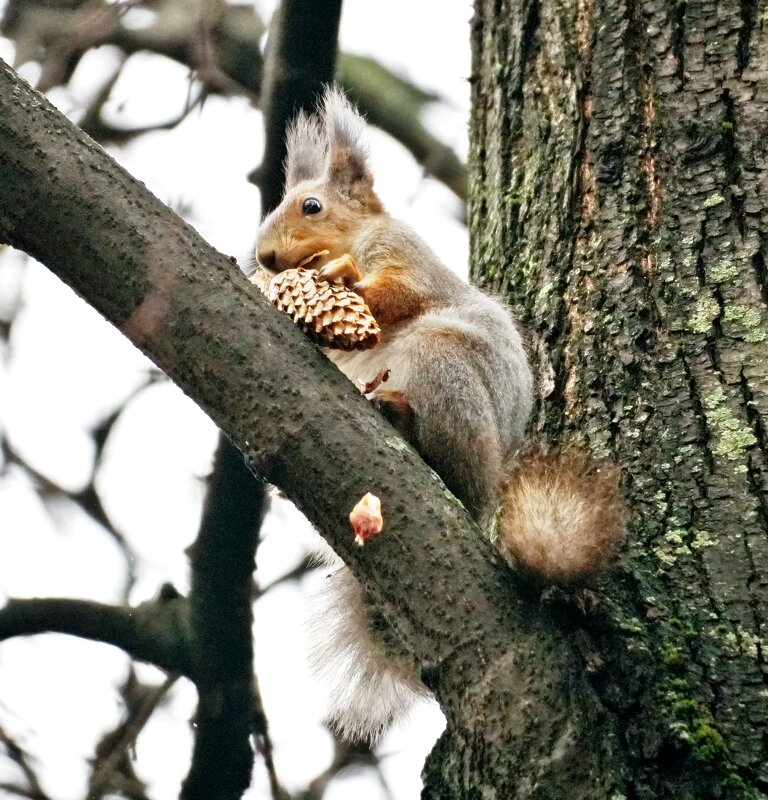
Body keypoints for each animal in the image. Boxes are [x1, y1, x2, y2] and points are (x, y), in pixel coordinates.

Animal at [252, 89, 624, 744]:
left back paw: (402, 419)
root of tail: (483, 494)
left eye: (311, 206)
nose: (264, 257)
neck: (355, 238)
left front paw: (340, 282)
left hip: (443, 368)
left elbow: (398, 292)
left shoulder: (405, 258)